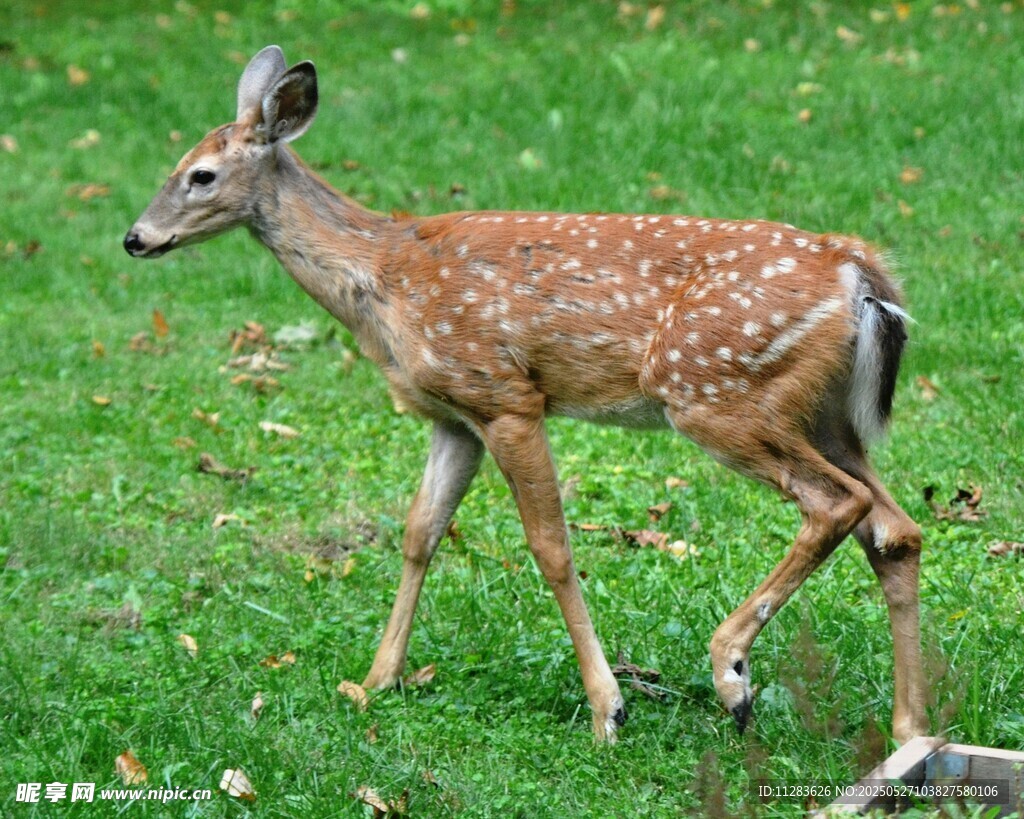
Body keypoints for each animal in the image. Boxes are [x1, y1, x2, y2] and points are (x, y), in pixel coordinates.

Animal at [125, 46, 929, 744]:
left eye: (200, 175)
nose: (135, 238)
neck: (384, 281)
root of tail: (859, 273)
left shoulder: (504, 394)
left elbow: (552, 548)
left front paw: (609, 710)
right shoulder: (453, 415)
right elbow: (419, 532)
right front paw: (375, 681)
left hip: (715, 393)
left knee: (837, 503)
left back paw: (732, 673)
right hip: (823, 415)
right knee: (895, 529)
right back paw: (909, 729)